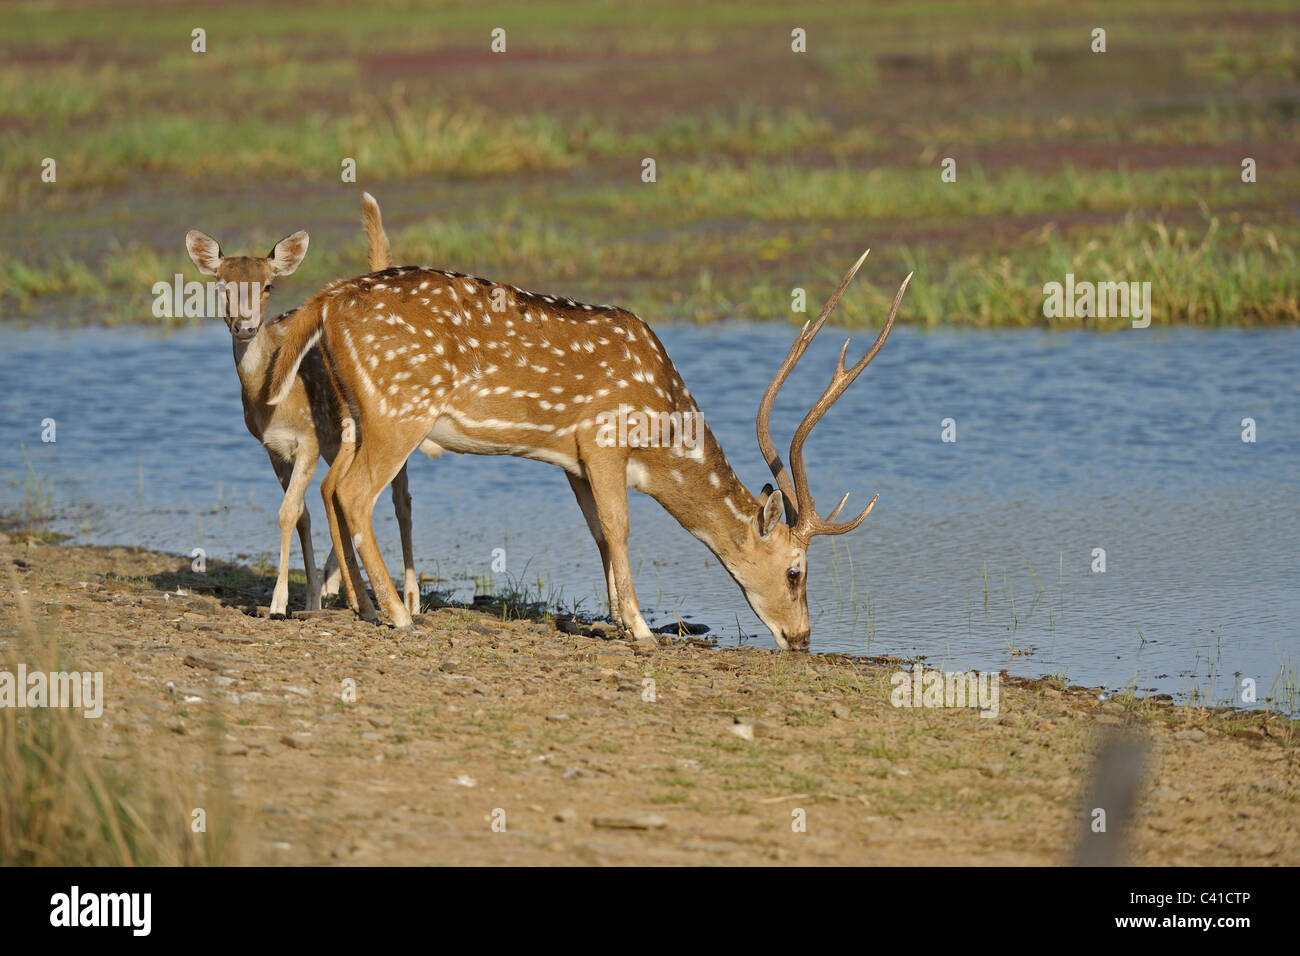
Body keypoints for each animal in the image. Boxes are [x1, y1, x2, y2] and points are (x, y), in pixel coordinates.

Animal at [184, 193, 419, 620]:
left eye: (268, 285)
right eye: (221, 285)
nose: (244, 326)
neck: (273, 400)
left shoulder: (308, 438)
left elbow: (287, 512)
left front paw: (277, 603)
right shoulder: (273, 447)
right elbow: (302, 515)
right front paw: (309, 598)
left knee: (401, 501)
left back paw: (410, 598)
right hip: (341, 441)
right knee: (348, 494)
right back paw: (334, 583)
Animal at [265, 241, 910, 649]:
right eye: (797, 571)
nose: (801, 638)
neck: (660, 431)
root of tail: (325, 301)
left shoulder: (571, 460)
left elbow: (599, 532)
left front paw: (617, 621)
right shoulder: (604, 439)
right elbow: (621, 527)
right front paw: (643, 631)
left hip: (356, 415)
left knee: (330, 485)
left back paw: (362, 606)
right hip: (400, 410)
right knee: (354, 492)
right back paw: (398, 616)